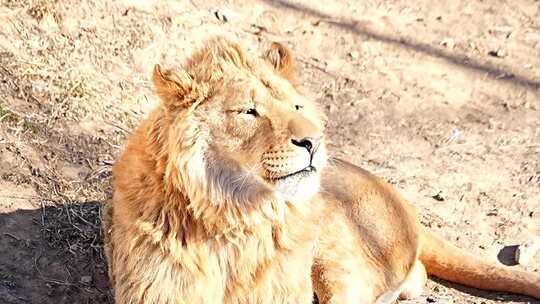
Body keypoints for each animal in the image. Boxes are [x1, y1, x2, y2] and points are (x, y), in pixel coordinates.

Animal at [102, 36, 540, 302]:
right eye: (249, 111)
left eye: (296, 106)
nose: (313, 141)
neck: (235, 218)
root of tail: (406, 206)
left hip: (334, 256)